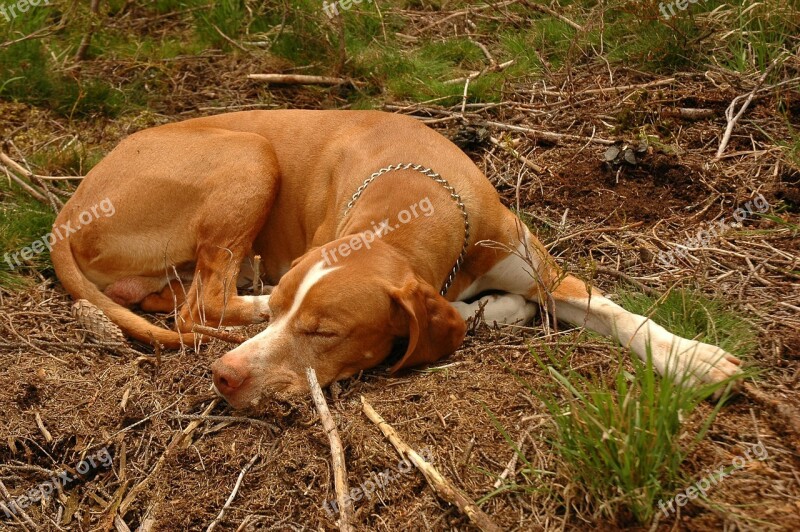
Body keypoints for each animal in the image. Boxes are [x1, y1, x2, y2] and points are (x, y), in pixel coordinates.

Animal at [50, 111, 740, 408]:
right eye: (285, 320)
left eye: (325, 332)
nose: (225, 376)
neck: (412, 197)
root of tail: (67, 208)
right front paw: (491, 312)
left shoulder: (546, 274)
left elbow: (623, 314)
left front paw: (695, 360)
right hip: (248, 153)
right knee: (203, 308)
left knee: (176, 298)